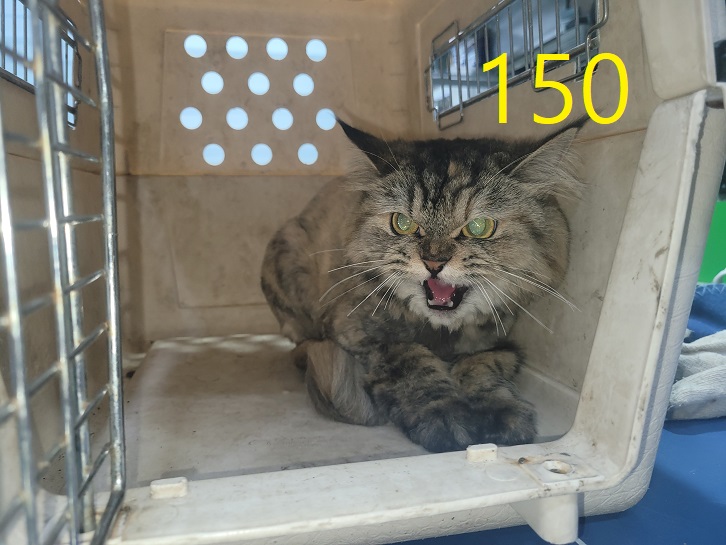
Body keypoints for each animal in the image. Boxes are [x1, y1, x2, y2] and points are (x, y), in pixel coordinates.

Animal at [261, 120, 582, 452]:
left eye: (479, 227)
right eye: (402, 223)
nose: (433, 263)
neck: (441, 333)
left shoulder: (497, 343)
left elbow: (481, 367)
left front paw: (501, 412)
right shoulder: (359, 332)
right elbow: (414, 363)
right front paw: (444, 417)